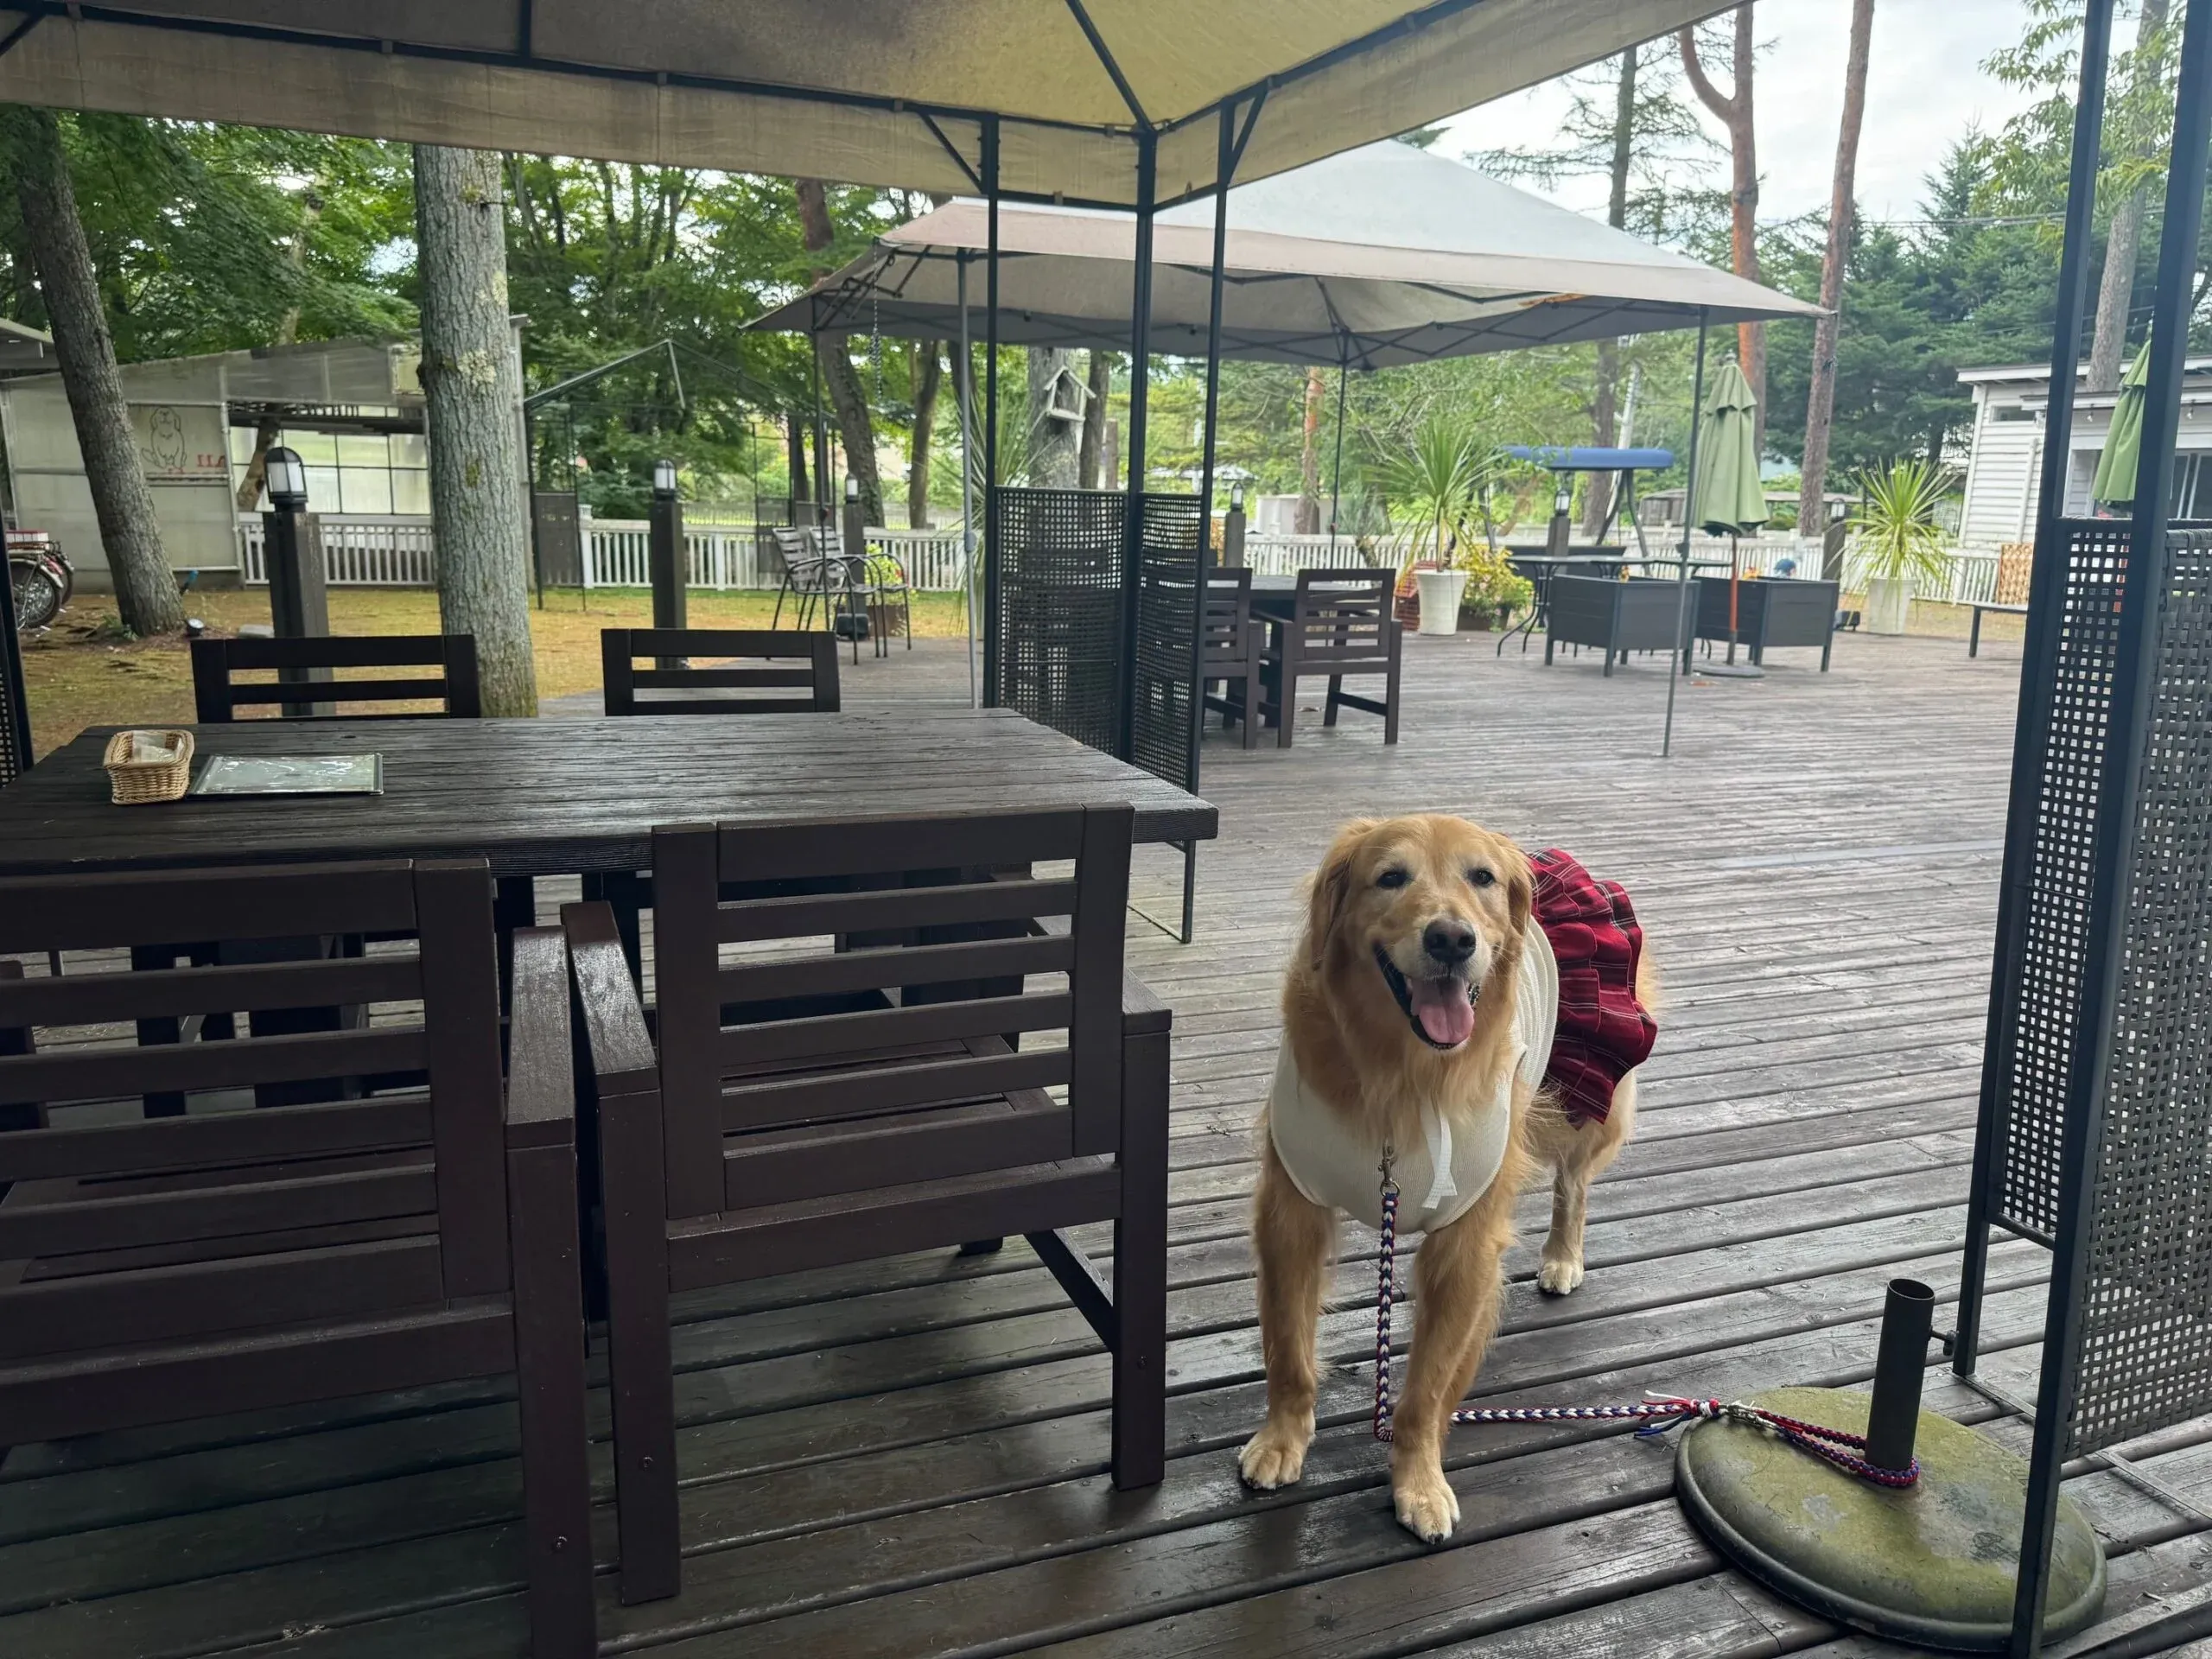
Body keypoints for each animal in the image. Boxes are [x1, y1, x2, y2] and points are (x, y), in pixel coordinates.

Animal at [1247, 814, 1645, 1548]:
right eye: (1390, 877)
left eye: (1480, 877)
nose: (1452, 939)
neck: (1402, 1074)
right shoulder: (1292, 1208)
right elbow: (1288, 1345)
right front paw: (1283, 1439)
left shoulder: (1465, 1244)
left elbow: (1427, 1390)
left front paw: (1419, 1482)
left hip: (1582, 1103)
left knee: (1573, 1187)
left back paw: (1563, 1257)